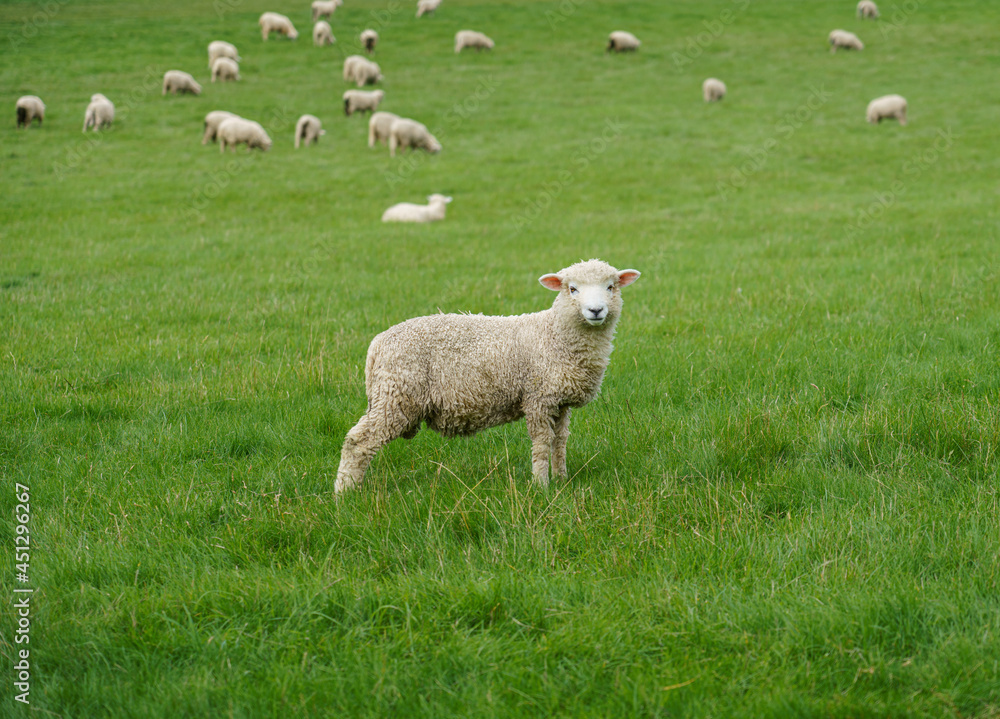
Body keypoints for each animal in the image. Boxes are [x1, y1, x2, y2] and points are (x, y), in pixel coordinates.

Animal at [335, 259, 642, 492]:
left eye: (611, 286)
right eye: (572, 289)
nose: (596, 310)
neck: (553, 335)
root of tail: (378, 343)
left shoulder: (559, 401)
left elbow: (560, 441)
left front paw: (562, 479)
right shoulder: (538, 397)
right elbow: (542, 443)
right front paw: (541, 485)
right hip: (397, 394)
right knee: (358, 442)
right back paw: (345, 493)